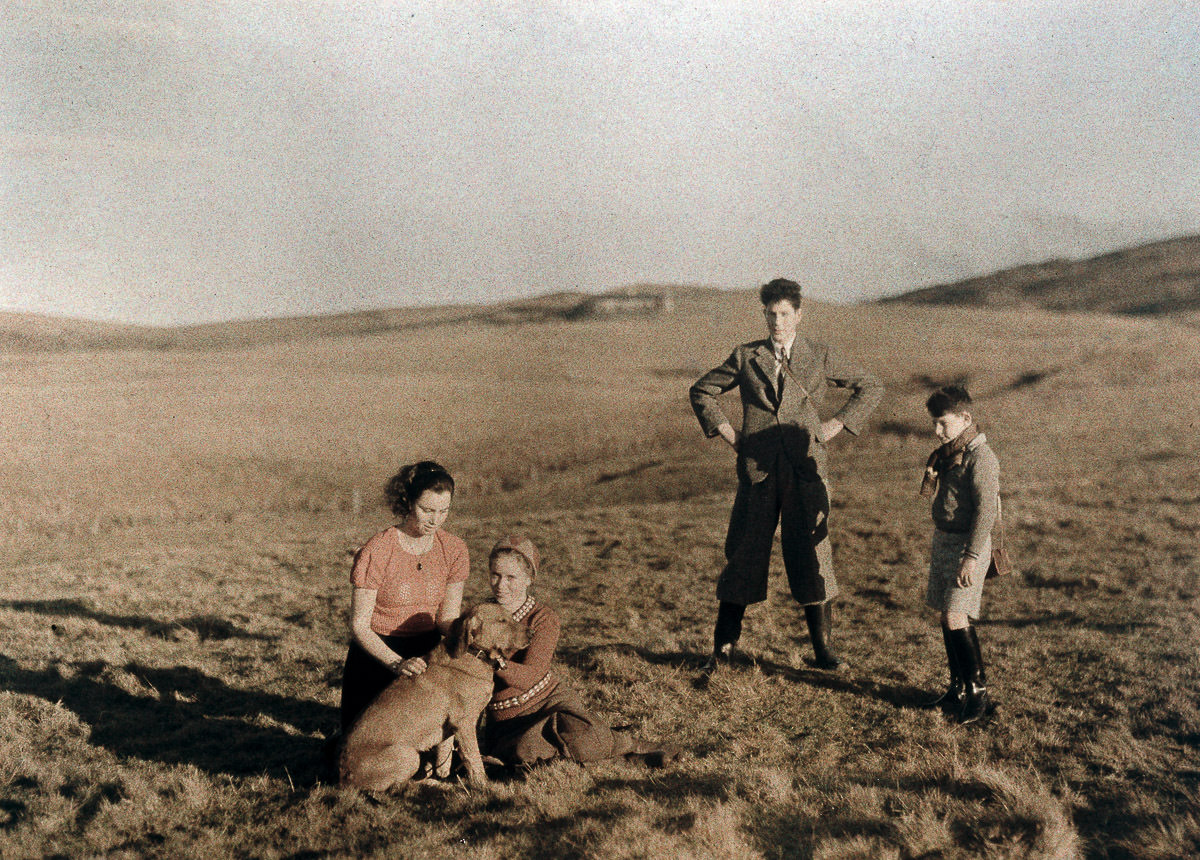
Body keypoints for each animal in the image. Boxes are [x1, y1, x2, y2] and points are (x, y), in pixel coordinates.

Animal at [336, 599, 528, 786]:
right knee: (399, 786)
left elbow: (445, 752)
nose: (531, 632)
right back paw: (431, 783)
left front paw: (443, 773)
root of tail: (343, 776)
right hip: (409, 755)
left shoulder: (453, 726)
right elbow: (473, 758)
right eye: (502, 621)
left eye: (511, 617)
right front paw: (482, 784)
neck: (473, 653)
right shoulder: (464, 723)